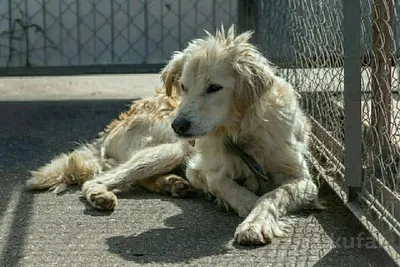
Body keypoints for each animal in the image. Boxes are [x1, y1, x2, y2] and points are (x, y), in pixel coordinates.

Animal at [26, 24, 322, 246]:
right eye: (183, 87)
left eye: (214, 88)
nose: (178, 126)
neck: (241, 133)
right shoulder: (198, 167)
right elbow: (223, 183)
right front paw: (248, 206)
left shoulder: (304, 180)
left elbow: (272, 196)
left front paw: (257, 220)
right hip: (173, 148)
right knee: (99, 179)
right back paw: (103, 194)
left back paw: (171, 184)